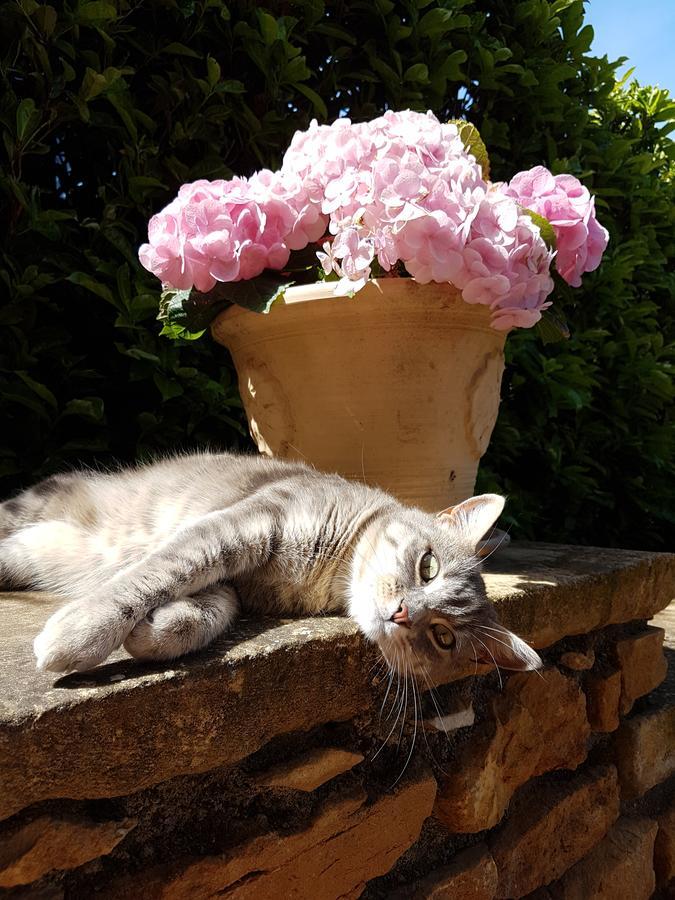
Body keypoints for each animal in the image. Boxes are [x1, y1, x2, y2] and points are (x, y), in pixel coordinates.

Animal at [0, 454, 540, 680]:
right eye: (428, 566)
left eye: (443, 637)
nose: (403, 613)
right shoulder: (241, 523)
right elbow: (159, 571)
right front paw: (81, 632)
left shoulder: (237, 581)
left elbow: (213, 605)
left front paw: (163, 627)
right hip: (35, 506)